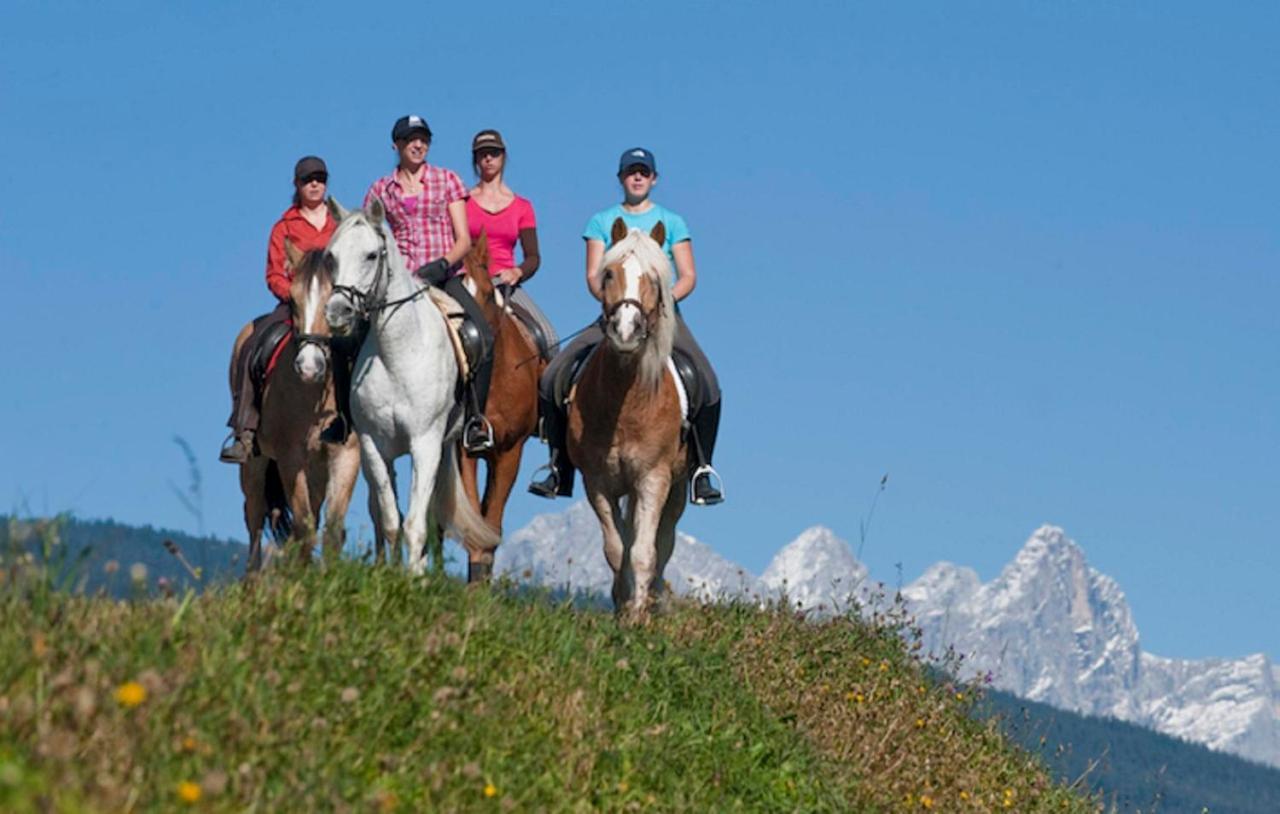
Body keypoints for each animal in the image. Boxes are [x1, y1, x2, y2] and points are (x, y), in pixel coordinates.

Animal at [229, 241, 358, 573]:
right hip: (255, 463)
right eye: (293, 300)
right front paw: (303, 578)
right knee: (254, 517)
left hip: (317, 469)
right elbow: (303, 526)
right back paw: (252, 580)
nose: (308, 367)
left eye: (335, 302)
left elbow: (332, 529)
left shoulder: (345, 455)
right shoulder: (290, 458)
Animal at [322, 195, 496, 573]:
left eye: (372, 255)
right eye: (331, 256)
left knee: (431, 519)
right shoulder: (373, 445)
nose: (337, 313)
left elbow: (416, 525)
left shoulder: (425, 443)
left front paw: (414, 578)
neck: (398, 353)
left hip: (443, 447)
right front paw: (390, 576)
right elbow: (390, 520)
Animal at [570, 218, 691, 619]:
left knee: (663, 543)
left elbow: (643, 552)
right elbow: (617, 550)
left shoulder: (653, 479)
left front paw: (638, 616)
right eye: (608, 274)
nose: (626, 331)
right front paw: (623, 607)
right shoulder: (596, 481)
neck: (626, 408)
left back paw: (653, 600)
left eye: (654, 278)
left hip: (676, 489)